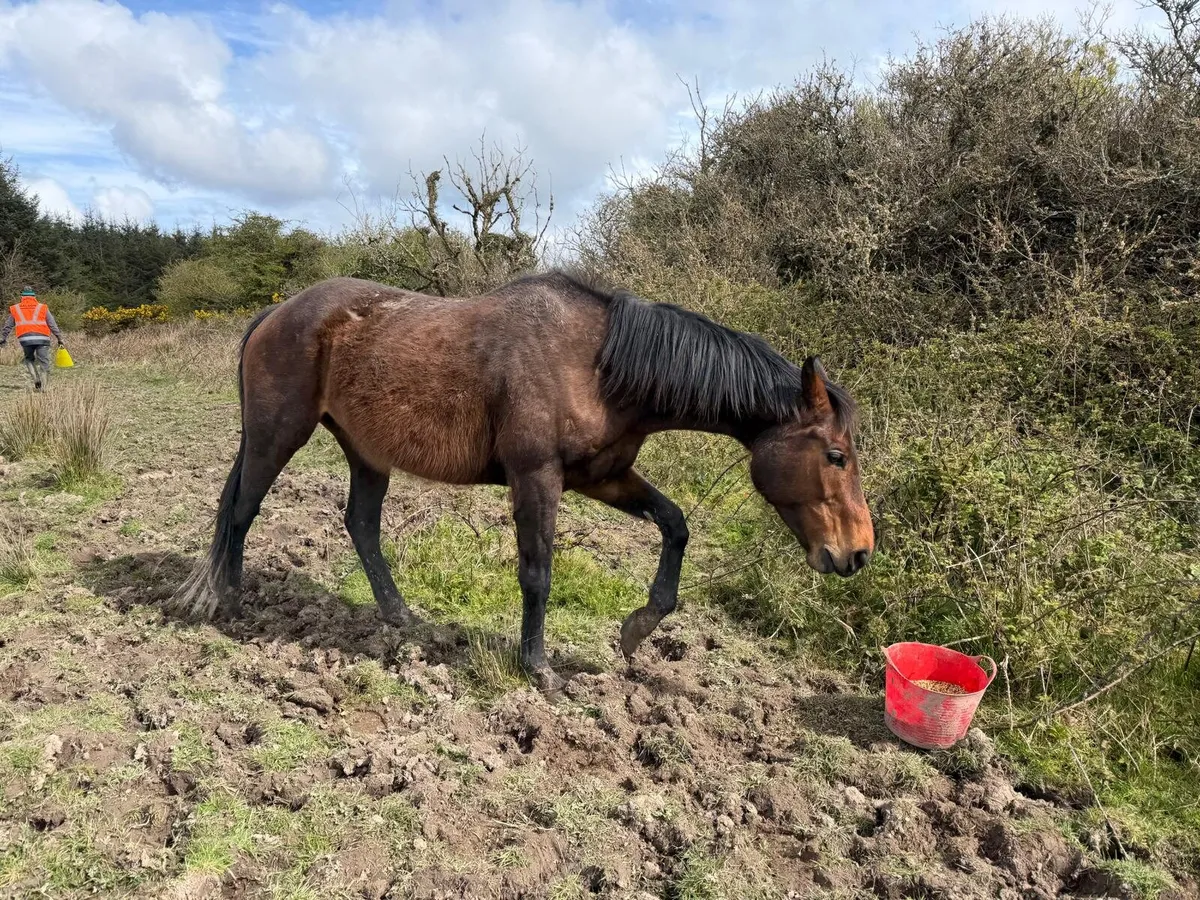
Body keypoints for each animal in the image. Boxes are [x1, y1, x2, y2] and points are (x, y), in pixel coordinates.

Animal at [170, 271, 875, 693]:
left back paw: (400, 618)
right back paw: (227, 604)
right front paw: (539, 668)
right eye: (837, 455)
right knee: (241, 510)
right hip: (277, 435)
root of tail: (276, 312)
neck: (596, 362)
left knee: (360, 526)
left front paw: (639, 626)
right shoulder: (537, 477)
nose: (858, 553)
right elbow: (538, 571)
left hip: (366, 451)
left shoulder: (603, 475)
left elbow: (675, 524)